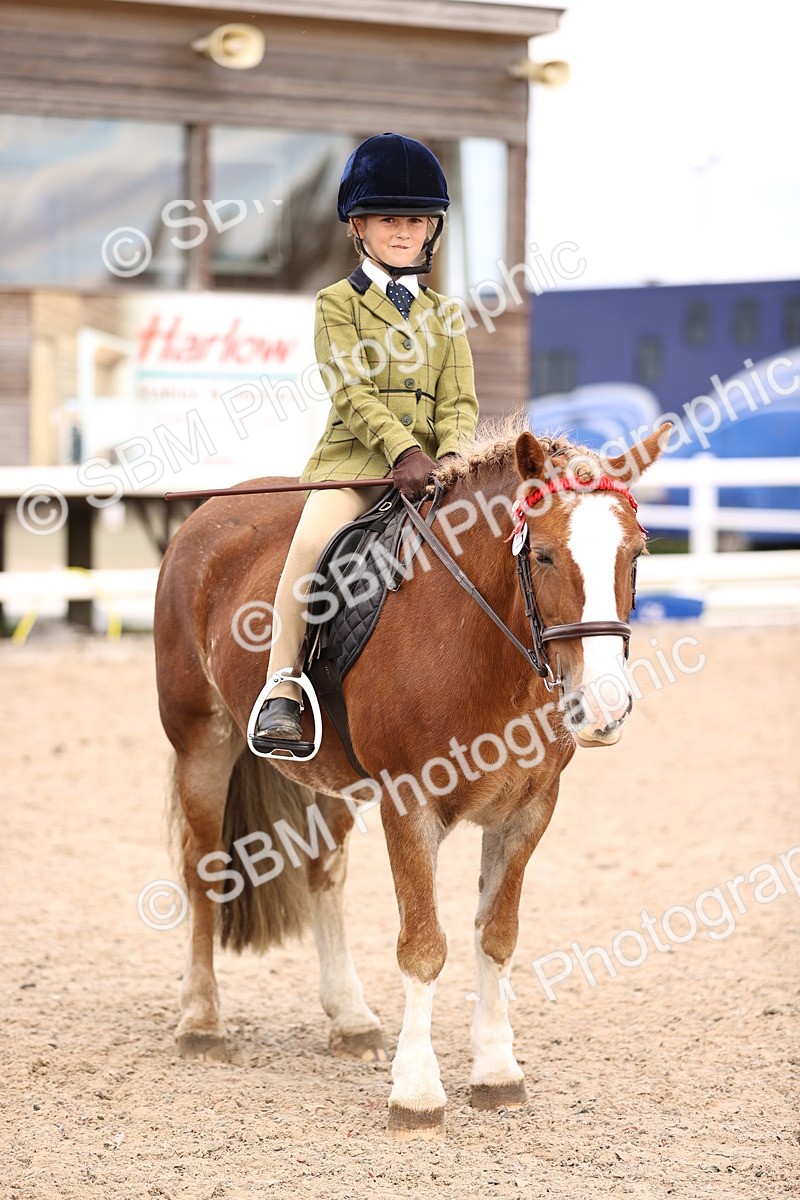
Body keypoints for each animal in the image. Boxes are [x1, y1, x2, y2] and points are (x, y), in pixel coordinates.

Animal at [153, 421, 670, 1138]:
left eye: (635, 555)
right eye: (541, 555)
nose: (603, 707)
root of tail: (208, 515)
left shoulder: (530, 810)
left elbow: (497, 936)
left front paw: (497, 1071)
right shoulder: (410, 804)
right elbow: (424, 946)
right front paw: (417, 1093)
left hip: (325, 778)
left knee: (324, 875)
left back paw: (350, 1018)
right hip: (202, 742)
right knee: (203, 870)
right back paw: (201, 1023)